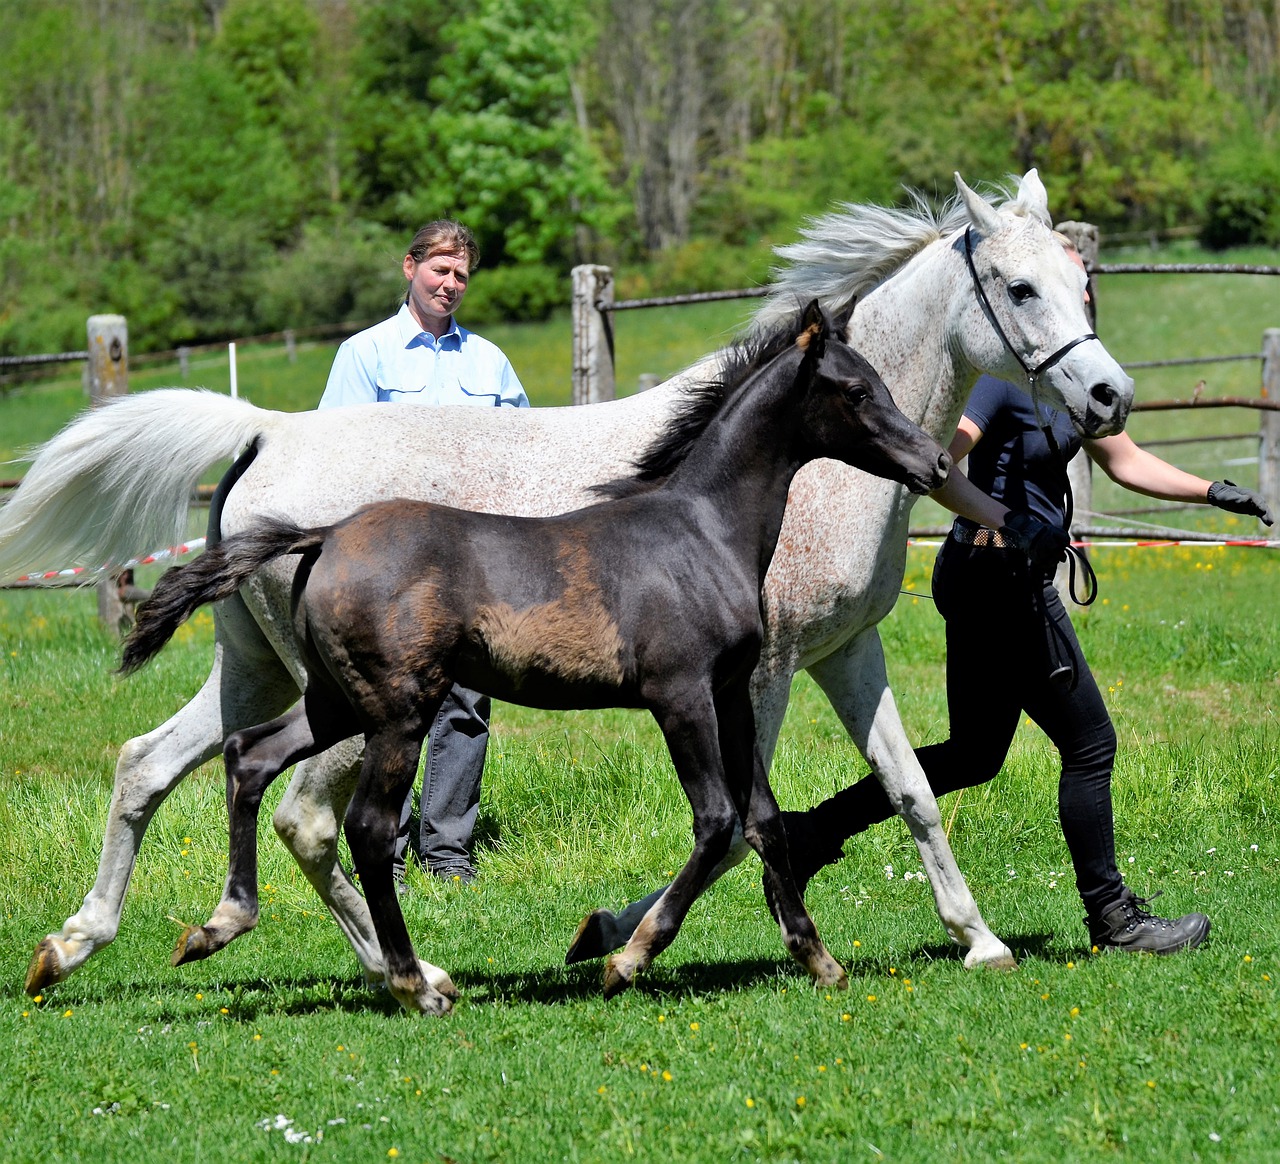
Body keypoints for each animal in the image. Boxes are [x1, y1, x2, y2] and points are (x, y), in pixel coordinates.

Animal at [10, 167, 1131, 993]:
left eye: (1083, 284)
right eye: (1019, 288)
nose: (1107, 396)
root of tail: (267, 431)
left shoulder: (842, 651)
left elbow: (908, 791)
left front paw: (977, 939)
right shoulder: (756, 673)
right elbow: (738, 822)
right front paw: (613, 937)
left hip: (265, 669)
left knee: (155, 764)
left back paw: (82, 945)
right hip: (362, 701)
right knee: (308, 817)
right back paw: (408, 973)